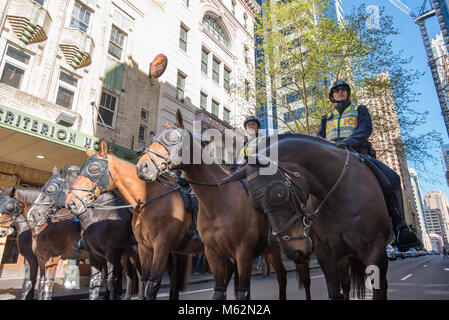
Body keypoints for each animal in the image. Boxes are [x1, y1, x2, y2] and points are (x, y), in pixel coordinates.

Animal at [27, 165, 143, 300]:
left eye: (51, 189)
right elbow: (94, 283)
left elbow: (112, 282)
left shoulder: (112, 255)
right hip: (127, 256)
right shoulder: (95, 256)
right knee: (131, 276)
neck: (99, 215)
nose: (32, 215)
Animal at [65, 140, 200, 300]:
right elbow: (140, 280)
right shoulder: (140, 248)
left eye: (94, 169)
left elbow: (149, 283)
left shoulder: (158, 247)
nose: (71, 203)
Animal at [135, 110, 314, 300]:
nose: (142, 166)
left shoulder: (243, 252)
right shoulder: (215, 255)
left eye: (172, 138)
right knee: (282, 277)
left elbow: (242, 291)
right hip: (272, 251)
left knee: (300, 278)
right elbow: (220, 291)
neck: (218, 201)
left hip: (298, 247)